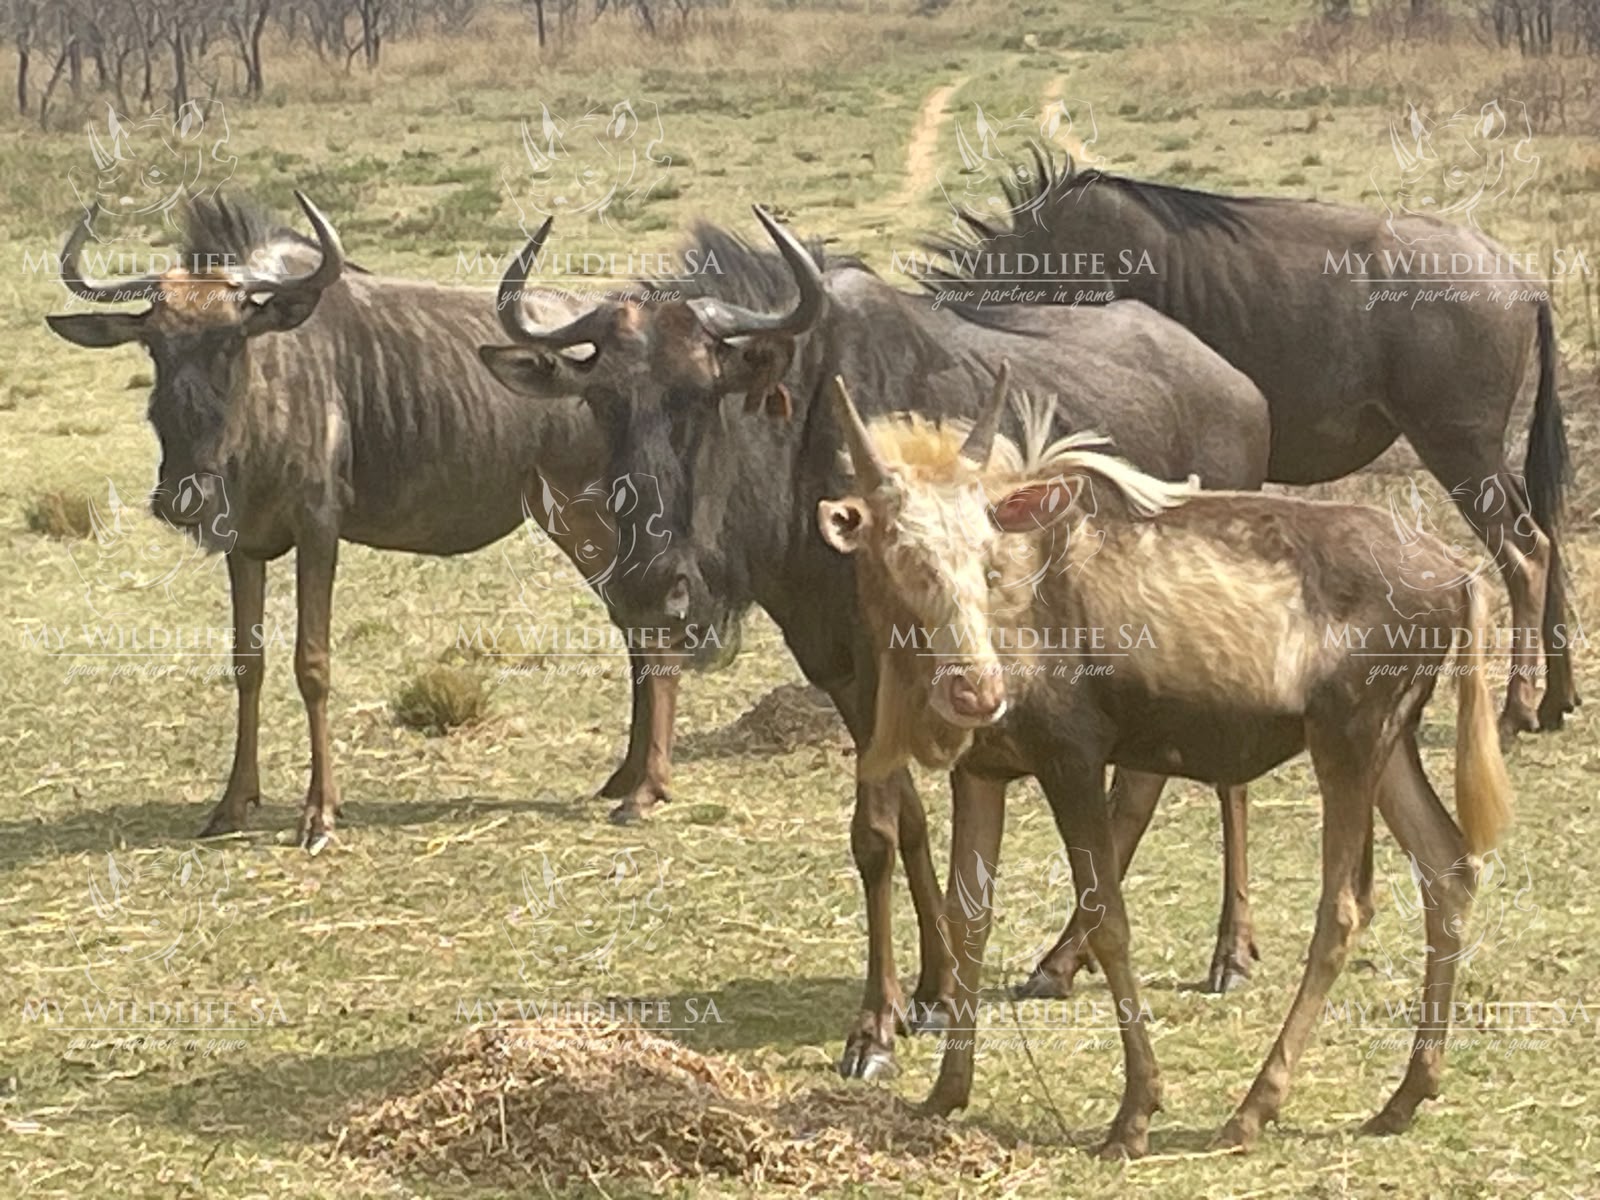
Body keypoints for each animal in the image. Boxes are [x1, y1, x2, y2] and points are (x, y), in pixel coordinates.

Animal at [45, 192, 680, 849]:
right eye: (154, 344)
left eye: (233, 339)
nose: (182, 497)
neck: (268, 393)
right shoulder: (243, 546)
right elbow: (248, 666)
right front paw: (233, 804)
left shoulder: (318, 529)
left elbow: (312, 665)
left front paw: (319, 813)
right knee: (634, 625)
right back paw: (625, 775)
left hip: (594, 513)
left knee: (653, 621)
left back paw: (646, 789)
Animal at [477, 206, 1272, 1076]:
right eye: (602, 403)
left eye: (702, 395)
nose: (655, 588)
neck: (809, 450)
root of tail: (1240, 387)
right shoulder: (849, 679)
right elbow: (899, 829)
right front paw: (925, 992)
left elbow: (893, 831)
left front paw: (875, 1027)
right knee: (1143, 783)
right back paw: (1063, 961)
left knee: (1220, 779)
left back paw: (1230, 953)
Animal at [819, 371, 1513, 1156]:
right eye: (900, 551)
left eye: (987, 553)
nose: (977, 689)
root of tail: (1462, 576)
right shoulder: (984, 771)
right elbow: (971, 919)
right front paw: (945, 1090)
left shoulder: (1073, 759)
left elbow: (1107, 921)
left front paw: (1135, 1111)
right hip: (1390, 744)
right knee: (1448, 866)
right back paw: (1406, 1093)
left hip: (1350, 738)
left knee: (1344, 905)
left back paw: (1254, 1107)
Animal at [921, 155, 1575, 737]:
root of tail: (1522, 281)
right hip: (1483, 454)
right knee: (1548, 534)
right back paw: (1555, 701)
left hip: (1457, 449)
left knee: (1526, 552)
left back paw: (1516, 708)